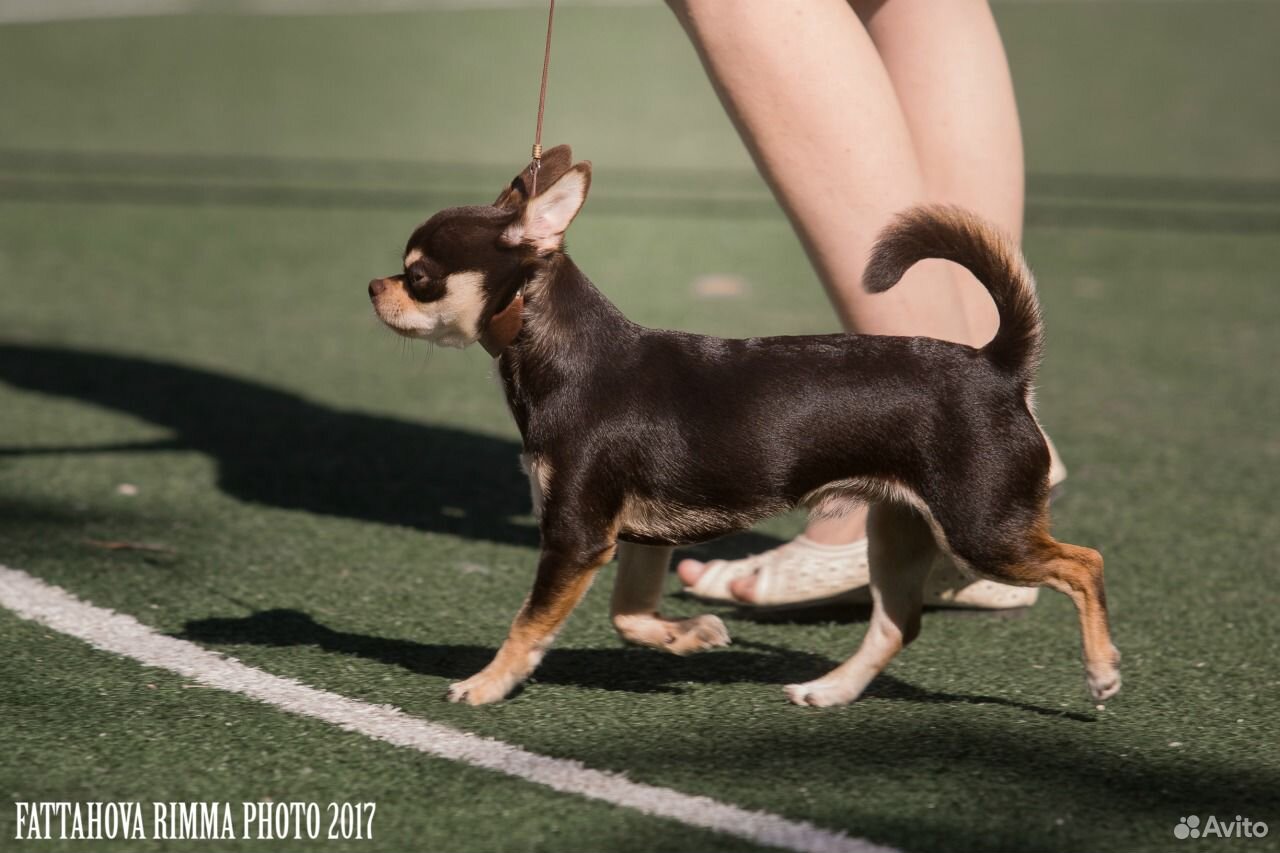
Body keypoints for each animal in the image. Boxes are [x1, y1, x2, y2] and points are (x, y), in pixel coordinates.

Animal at [368, 146, 1121, 701]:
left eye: (420, 277)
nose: (374, 286)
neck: (569, 355)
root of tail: (998, 366)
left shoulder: (577, 538)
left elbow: (528, 624)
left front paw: (487, 682)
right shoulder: (637, 539)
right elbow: (628, 615)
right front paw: (689, 634)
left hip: (980, 529)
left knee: (1085, 562)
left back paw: (1102, 668)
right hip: (899, 529)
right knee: (896, 625)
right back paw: (830, 691)